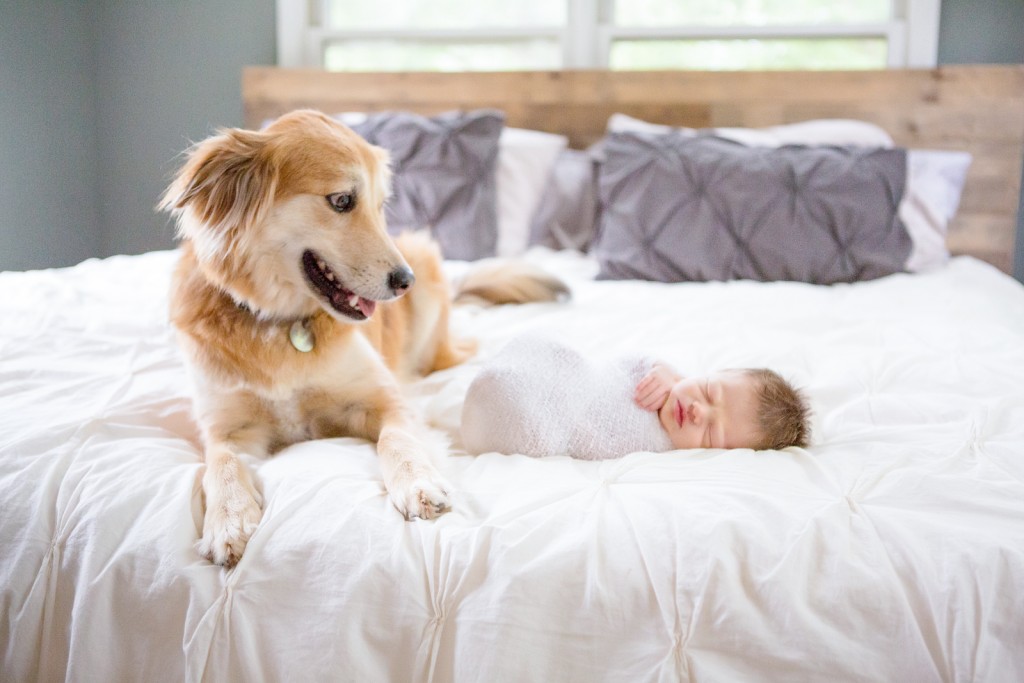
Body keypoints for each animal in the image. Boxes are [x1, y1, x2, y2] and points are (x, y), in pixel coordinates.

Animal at [157, 111, 569, 565]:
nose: (405, 282)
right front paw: (228, 520)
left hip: (424, 264)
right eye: (341, 201)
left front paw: (417, 483)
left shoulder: (385, 400)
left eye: (380, 205)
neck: (284, 324)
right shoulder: (227, 429)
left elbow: (398, 441)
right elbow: (220, 466)